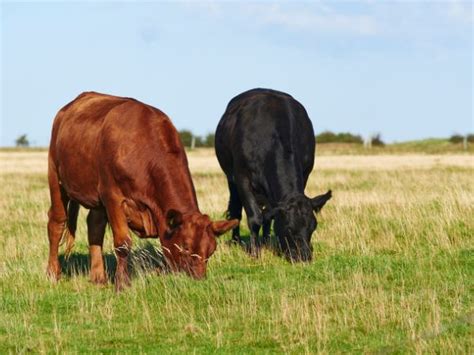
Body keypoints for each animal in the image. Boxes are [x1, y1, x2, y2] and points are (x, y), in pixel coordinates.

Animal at [48, 92, 237, 292]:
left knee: (94, 226)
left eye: (211, 250)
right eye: (185, 246)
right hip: (55, 176)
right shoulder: (113, 197)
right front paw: (122, 284)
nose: (197, 280)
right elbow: (123, 243)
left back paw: (98, 277)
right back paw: (53, 273)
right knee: (57, 223)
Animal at [216, 89, 332, 262]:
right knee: (236, 211)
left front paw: (265, 245)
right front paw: (255, 253)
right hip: (231, 178)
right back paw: (236, 240)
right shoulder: (242, 177)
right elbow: (254, 217)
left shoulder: (305, 173)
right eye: (289, 228)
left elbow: (268, 217)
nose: (304, 256)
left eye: (313, 226)